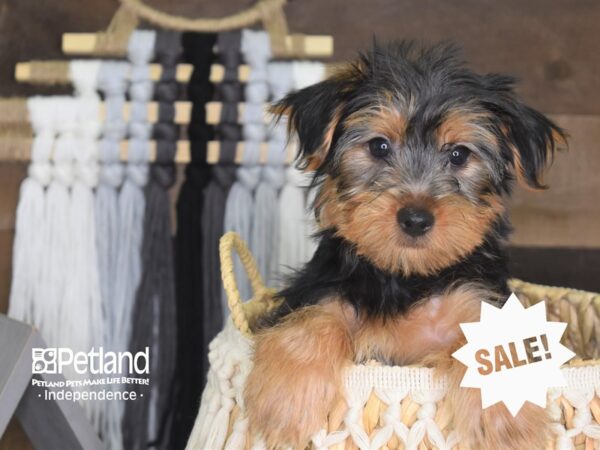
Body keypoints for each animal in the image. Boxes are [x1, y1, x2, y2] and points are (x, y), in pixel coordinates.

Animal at [244, 40, 564, 448]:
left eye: (459, 154)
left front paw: (510, 424)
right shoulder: (321, 290)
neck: (405, 276)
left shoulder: (473, 299)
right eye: (379, 146)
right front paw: (286, 400)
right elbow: (312, 320)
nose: (415, 218)